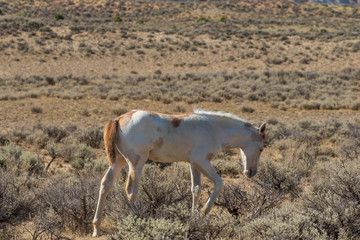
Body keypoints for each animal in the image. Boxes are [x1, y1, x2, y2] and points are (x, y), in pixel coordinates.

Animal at [91, 109, 266, 236]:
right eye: (261, 148)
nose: (251, 172)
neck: (214, 129)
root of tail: (119, 119)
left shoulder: (194, 164)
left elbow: (196, 189)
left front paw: (193, 218)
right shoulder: (201, 161)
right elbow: (218, 183)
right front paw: (203, 212)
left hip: (118, 161)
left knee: (105, 185)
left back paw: (96, 229)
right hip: (136, 163)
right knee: (131, 191)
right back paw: (136, 222)